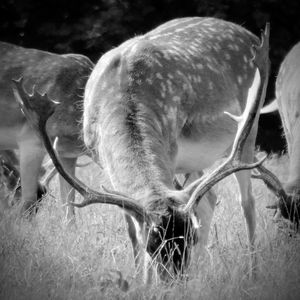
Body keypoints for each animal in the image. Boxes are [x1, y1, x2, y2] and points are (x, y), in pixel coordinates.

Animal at [14, 18, 272, 282]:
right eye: (152, 245)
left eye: (190, 239)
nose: (176, 283)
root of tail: (248, 33)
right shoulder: (102, 160)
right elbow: (131, 230)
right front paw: (141, 282)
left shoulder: (170, 149)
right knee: (209, 199)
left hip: (249, 128)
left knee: (247, 202)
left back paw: (253, 272)